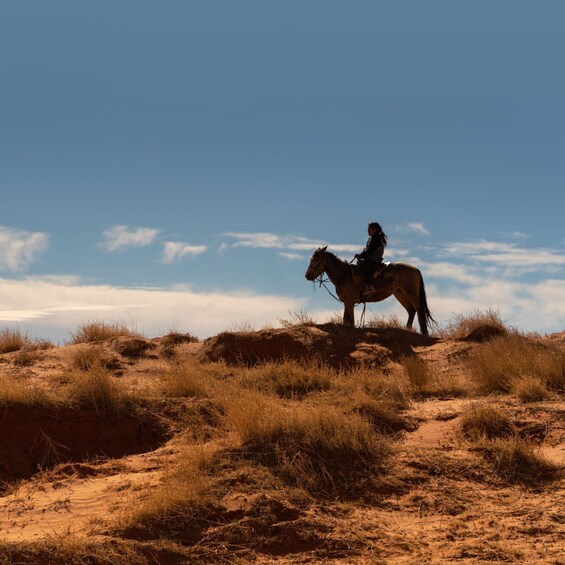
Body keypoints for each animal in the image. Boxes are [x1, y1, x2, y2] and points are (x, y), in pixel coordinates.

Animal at [306, 247, 434, 334]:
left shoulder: (349, 302)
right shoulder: (348, 303)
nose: (307, 276)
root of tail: (415, 269)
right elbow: (347, 320)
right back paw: (407, 329)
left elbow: (349, 321)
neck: (343, 274)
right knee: (411, 310)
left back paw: (424, 332)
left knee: (419, 309)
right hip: (400, 293)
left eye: (317, 259)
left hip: (411, 292)